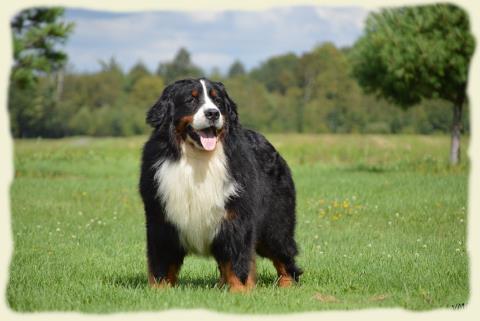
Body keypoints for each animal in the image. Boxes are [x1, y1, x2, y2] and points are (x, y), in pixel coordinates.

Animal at [139, 78, 302, 292]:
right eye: (191, 100)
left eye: (217, 101)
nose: (213, 113)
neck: (198, 160)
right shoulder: (161, 218)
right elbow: (161, 260)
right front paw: (160, 290)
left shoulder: (235, 217)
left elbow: (236, 258)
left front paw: (239, 290)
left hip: (274, 225)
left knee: (284, 254)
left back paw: (286, 284)